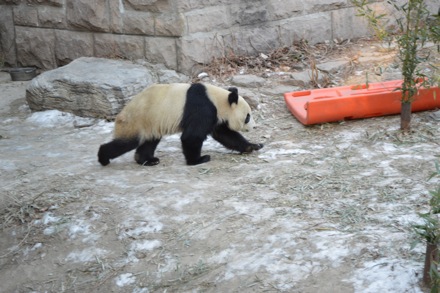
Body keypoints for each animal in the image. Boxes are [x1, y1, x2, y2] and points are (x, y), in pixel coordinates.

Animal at [98, 82, 262, 165]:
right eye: (248, 117)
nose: (255, 126)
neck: (217, 99)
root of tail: (120, 115)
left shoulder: (215, 115)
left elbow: (224, 134)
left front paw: (253, 146)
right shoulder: (202, 108)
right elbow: (192, 136)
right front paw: (198, 160)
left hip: (151, 123)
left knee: (150, 140)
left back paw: (147, 160)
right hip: (137, 121)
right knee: (126, 142)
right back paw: (103, 158)